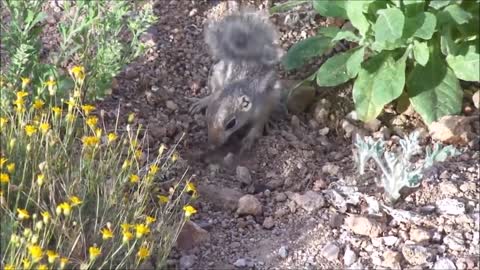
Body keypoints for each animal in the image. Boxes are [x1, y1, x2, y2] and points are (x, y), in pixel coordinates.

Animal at [189, 9, 284, 153]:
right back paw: (202, 102)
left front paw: (249, 140)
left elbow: (259, 123)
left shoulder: (263, 106)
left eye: (231, 124)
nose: (212, 145)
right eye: (207, 116)